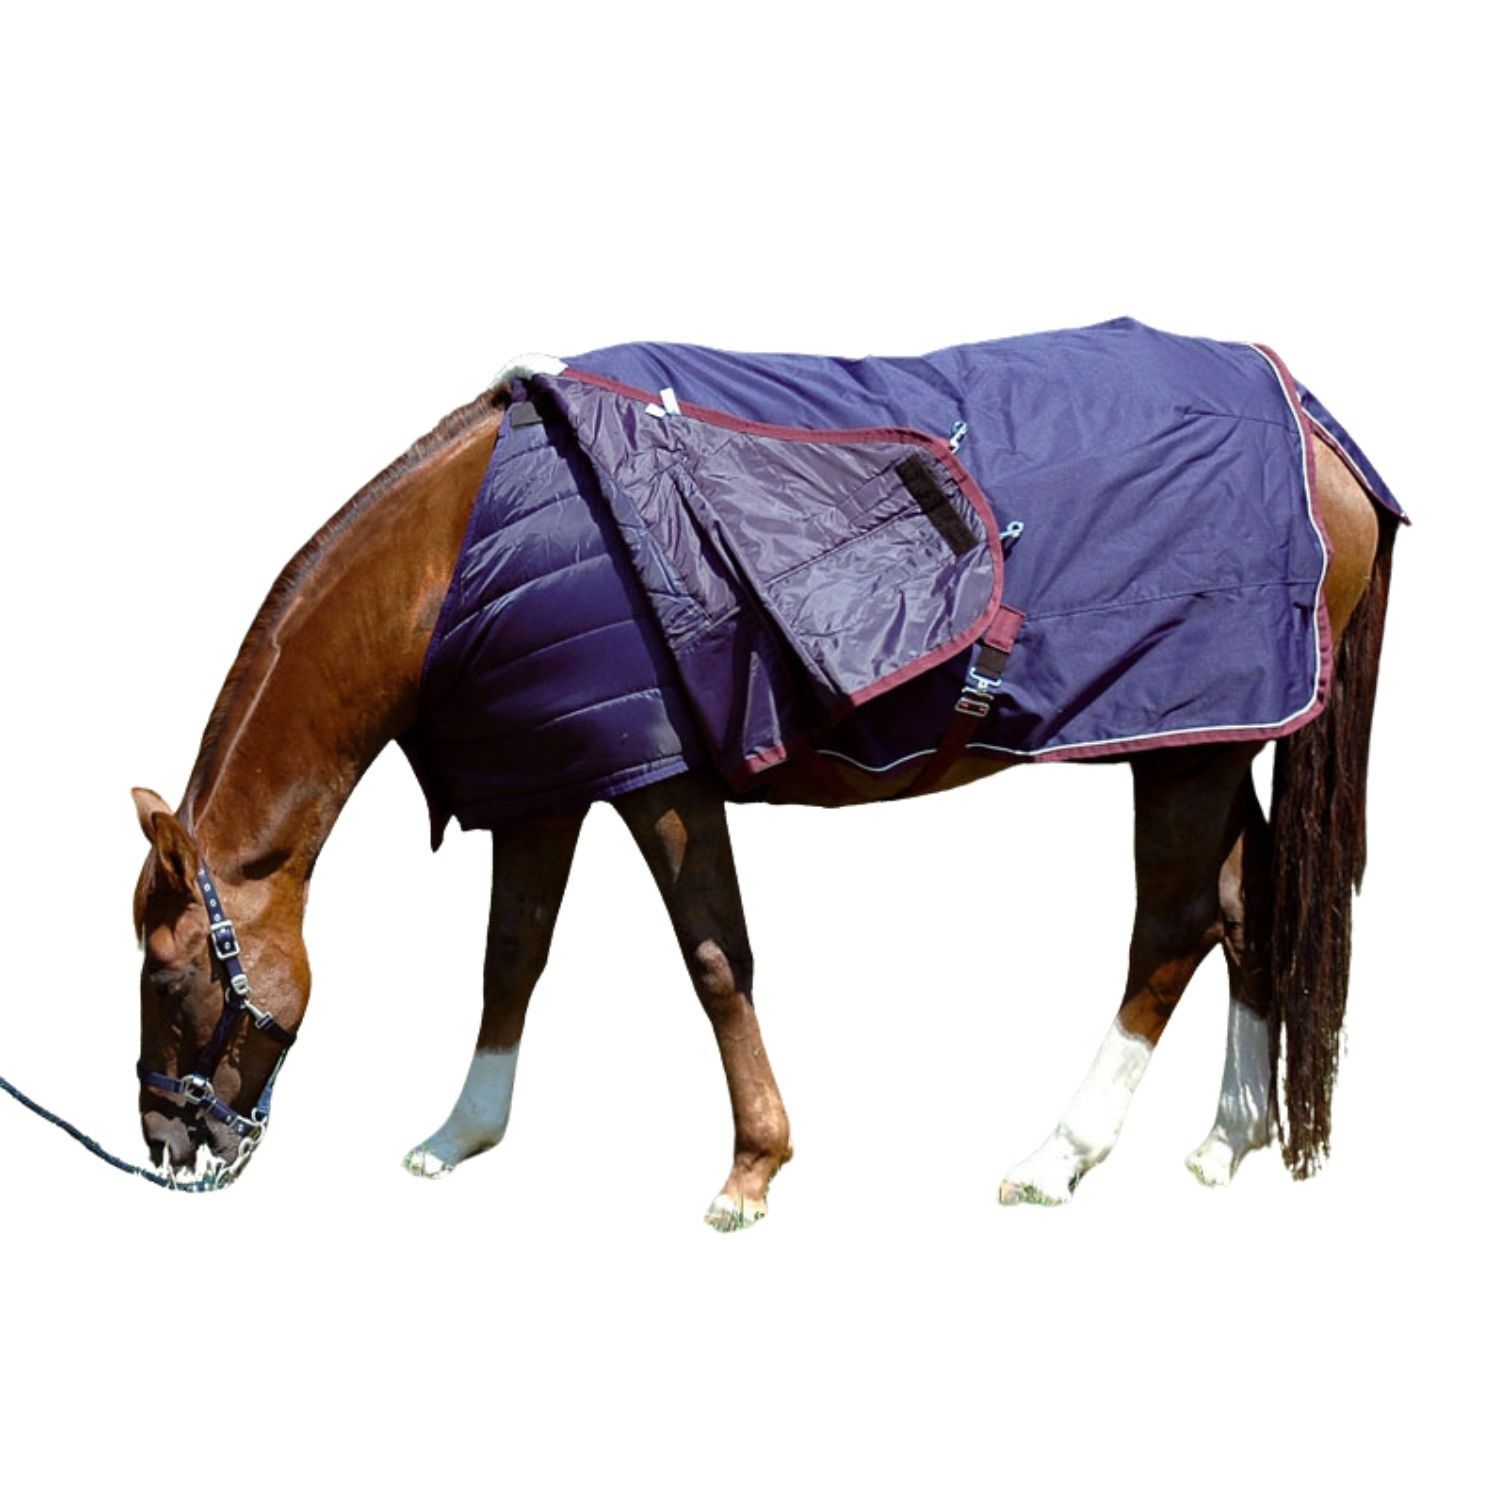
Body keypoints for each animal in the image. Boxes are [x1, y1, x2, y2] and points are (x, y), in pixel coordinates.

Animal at [131, 333, 1399, 1225]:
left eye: (169, 972)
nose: (167, 1143)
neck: (463, 555)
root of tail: (1319, 432)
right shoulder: (552, 773)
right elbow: (512, 957)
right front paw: (459, 1137)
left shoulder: (661, 780)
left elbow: (714, 961)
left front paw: (752, 1171)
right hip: (1212, 740)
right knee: (1250, 910)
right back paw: (1226, 1142)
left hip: (1187, 747)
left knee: (1173, 929)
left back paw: (1058, 1157)